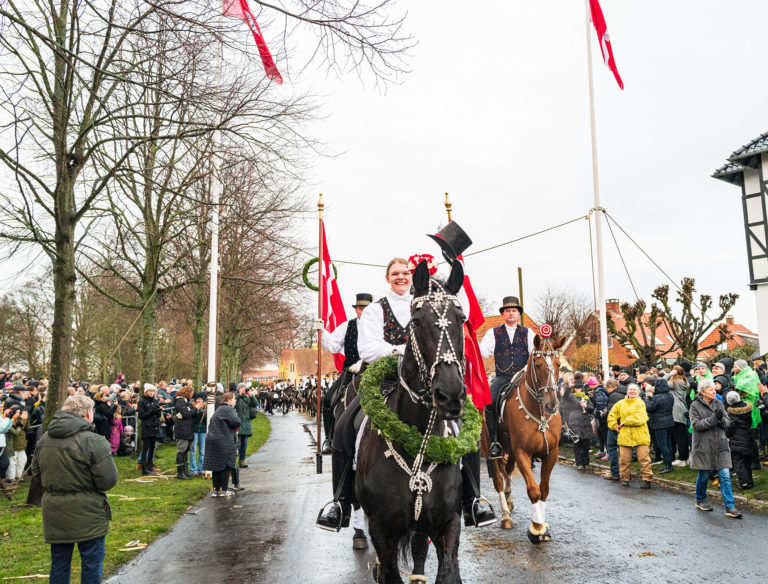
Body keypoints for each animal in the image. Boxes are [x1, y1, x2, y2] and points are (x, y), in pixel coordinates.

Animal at [356, 262, 468, 584]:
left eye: (461, 319)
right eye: (416, 322)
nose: (450, 395)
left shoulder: (448, 522)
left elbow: (448, 572)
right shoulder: (382, 530)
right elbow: (390, 572)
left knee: (419, 544)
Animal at [484, 334, 568, 544]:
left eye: (558, 364)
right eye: (537, 365)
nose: (552, 405)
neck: (539, 414)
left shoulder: (550, 454)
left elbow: (544, 489)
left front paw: (542, 525)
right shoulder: (523, 453)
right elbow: (533, 489)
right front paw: (536, 528)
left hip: (511, 452)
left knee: (507, 474)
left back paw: (509, 500)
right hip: (489, 448)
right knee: (498, 481)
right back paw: (505, 516)